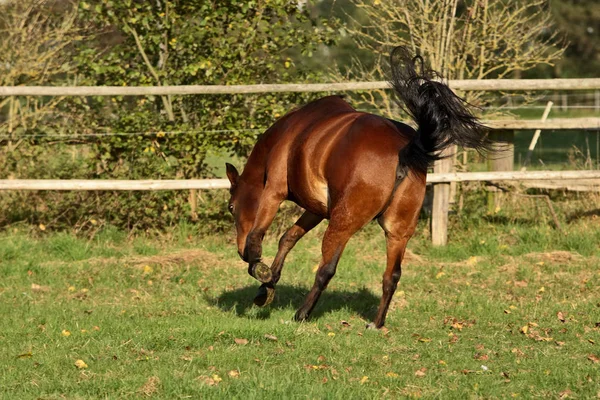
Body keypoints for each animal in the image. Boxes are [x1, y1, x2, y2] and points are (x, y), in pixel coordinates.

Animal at [223, 47, 490, 328]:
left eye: (231, 207)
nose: (239, 252)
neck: (289, 133)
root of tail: (406, 149)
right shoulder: (317, 210)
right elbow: (289, 238)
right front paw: (267, 286)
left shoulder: (274, 192)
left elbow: (258, 236)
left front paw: (259, 271)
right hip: (397, 231)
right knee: (392, 275)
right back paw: (376, 323)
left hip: (342, 224)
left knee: (326, 269)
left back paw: (301, 314)